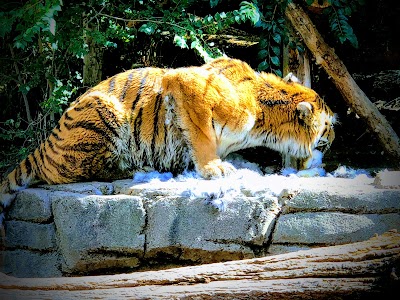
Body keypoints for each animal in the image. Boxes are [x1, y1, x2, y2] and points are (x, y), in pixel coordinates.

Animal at [0, 56, 336, 218]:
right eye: (328, 126)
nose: (334, 136)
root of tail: (43, 145)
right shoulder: (188, 84)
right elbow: (202, 138)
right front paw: (216, 169)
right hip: (103, 111)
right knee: (74, 172)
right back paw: (139, 168)